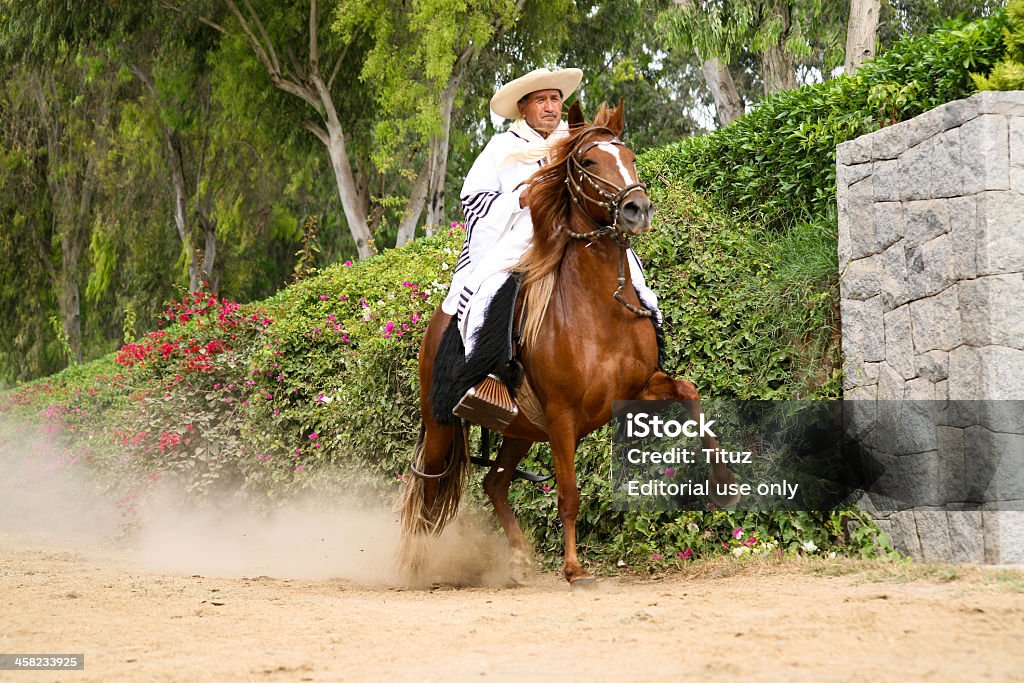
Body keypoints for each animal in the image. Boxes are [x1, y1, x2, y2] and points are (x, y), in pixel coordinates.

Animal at [397, 101, 737, 589]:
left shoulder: (636, 390)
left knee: (494, 483)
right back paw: (415, 563)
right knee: (428, 485)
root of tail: (437, 324)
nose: (637, 208)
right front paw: (575, 568)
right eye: (589, 162)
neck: (597, 309)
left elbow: (691, 395)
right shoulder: (561, 416)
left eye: (630, 156)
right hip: (442, 421)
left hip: (519, 430)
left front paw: (724, 483)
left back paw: (520, 561)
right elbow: (569, 494)